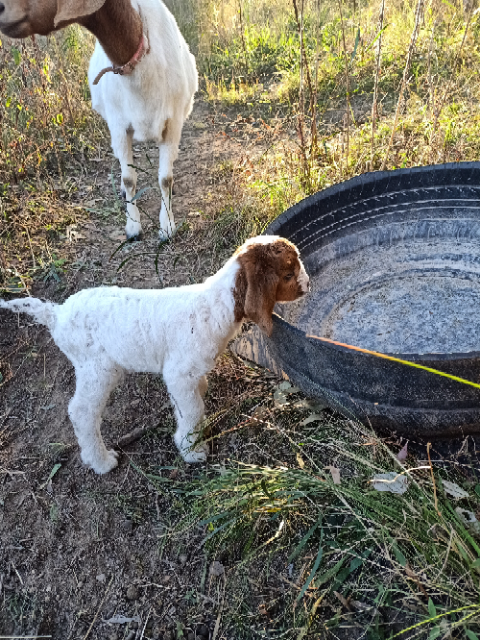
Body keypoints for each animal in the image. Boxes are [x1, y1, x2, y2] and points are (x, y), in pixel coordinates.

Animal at [0, 0, 198, 240]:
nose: (1, 8)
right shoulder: (119, 126)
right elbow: (129, 179)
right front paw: (133, 227)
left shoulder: (173, 123)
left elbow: (165, 179)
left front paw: (167, 227)